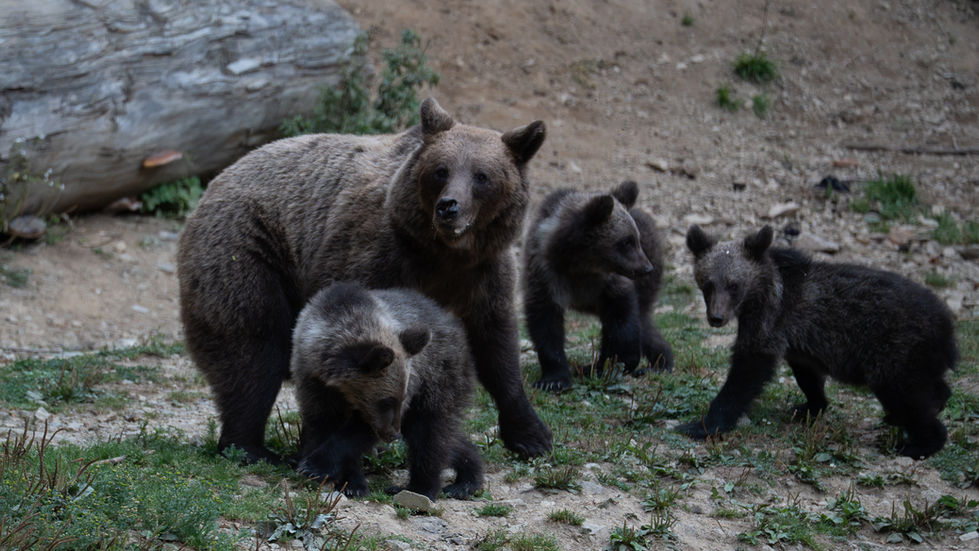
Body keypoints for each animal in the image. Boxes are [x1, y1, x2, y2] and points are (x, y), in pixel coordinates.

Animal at [177, 98, 552, 465]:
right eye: (441, 170)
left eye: (482, 176)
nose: (449, 207)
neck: (444, 253)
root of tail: (213, 185)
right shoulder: (375, 257)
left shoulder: (485, 274)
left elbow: (496, 346)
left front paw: (531, 436)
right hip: (249, 250)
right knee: (253, 349)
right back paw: (251, 448)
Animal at [291, 282, 484, 499]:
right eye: (387, 400)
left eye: (402, 396)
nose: (394, 434)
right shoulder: (313, 381)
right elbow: (323, 422)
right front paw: (347, 480)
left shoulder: (411, 379)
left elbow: (356, 432)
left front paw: (320, 468)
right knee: (444, 438)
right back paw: (467, 475)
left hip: (439, 376)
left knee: (429, 434)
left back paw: (421, 488)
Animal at [522, 180, 674, 391]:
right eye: (626, 241)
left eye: (636, 239)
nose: (646, 268)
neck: (579, 264)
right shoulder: (545, 275)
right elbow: (545, 324)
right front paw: (553, 380)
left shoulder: (610, 283)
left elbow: (622, 320)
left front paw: (609, 365)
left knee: (642, 321)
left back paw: (659, 364)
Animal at [677, 224, 958, 458]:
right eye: (708, 284)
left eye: (733, 285)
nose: (716, 317)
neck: (757, 295)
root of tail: (947, 325)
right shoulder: (798, 339)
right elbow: (807, 375)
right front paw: (810, 406)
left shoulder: (770, 320)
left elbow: (746, 371)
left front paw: (701, 424)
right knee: (928, 387)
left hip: (895, 351)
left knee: (905, 395)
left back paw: (917, 443)